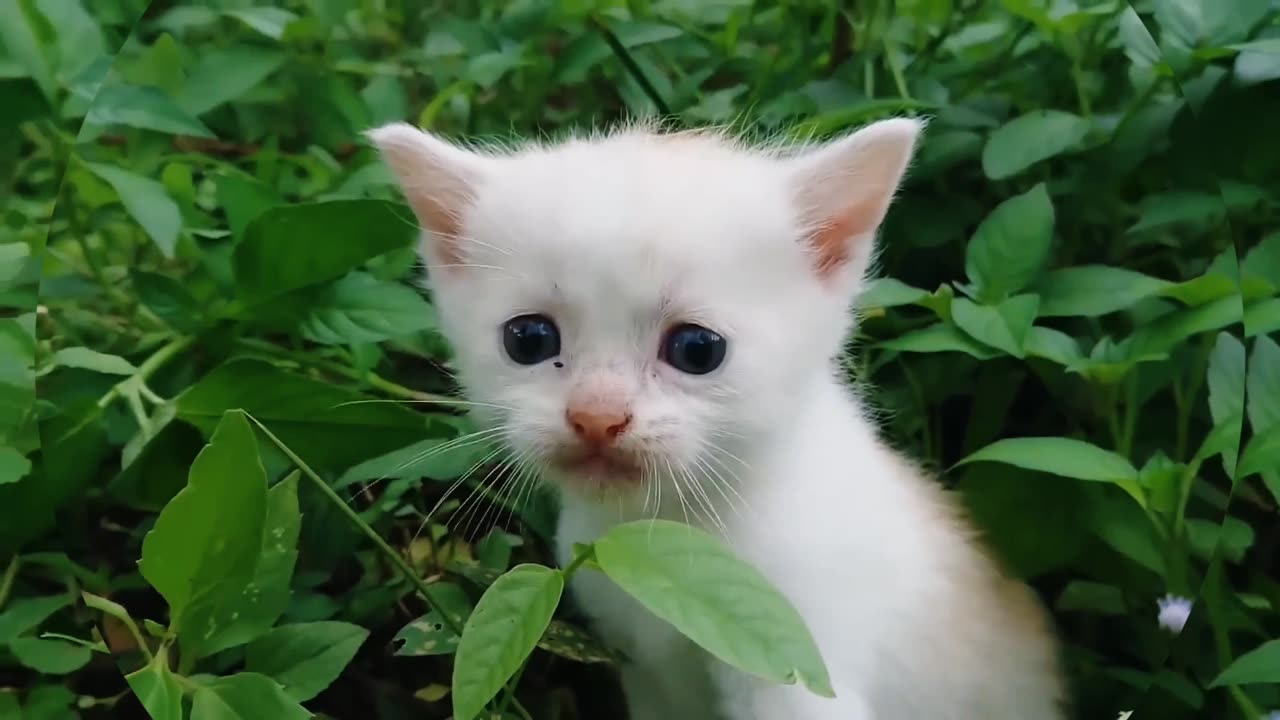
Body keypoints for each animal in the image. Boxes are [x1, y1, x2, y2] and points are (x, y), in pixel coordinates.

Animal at [366, 119, 1064, 717]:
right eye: (529, 339)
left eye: (697, 350)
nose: (596, 417)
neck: (674, 527)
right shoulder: (641, 665)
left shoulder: (796, 660)